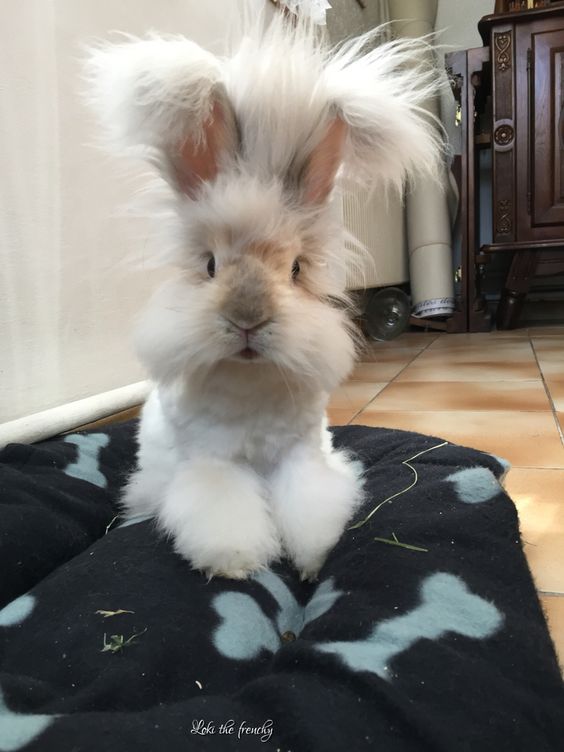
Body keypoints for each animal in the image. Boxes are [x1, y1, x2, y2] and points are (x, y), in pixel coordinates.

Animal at [86, 8, 442, 580]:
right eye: (210, 265)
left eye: (295, 269)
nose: (248, 319)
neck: (250, 381)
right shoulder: (213, 464)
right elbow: (223, 510)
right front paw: (237, 565)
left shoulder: (301, 459)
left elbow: (308, 506)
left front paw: (311, 564)